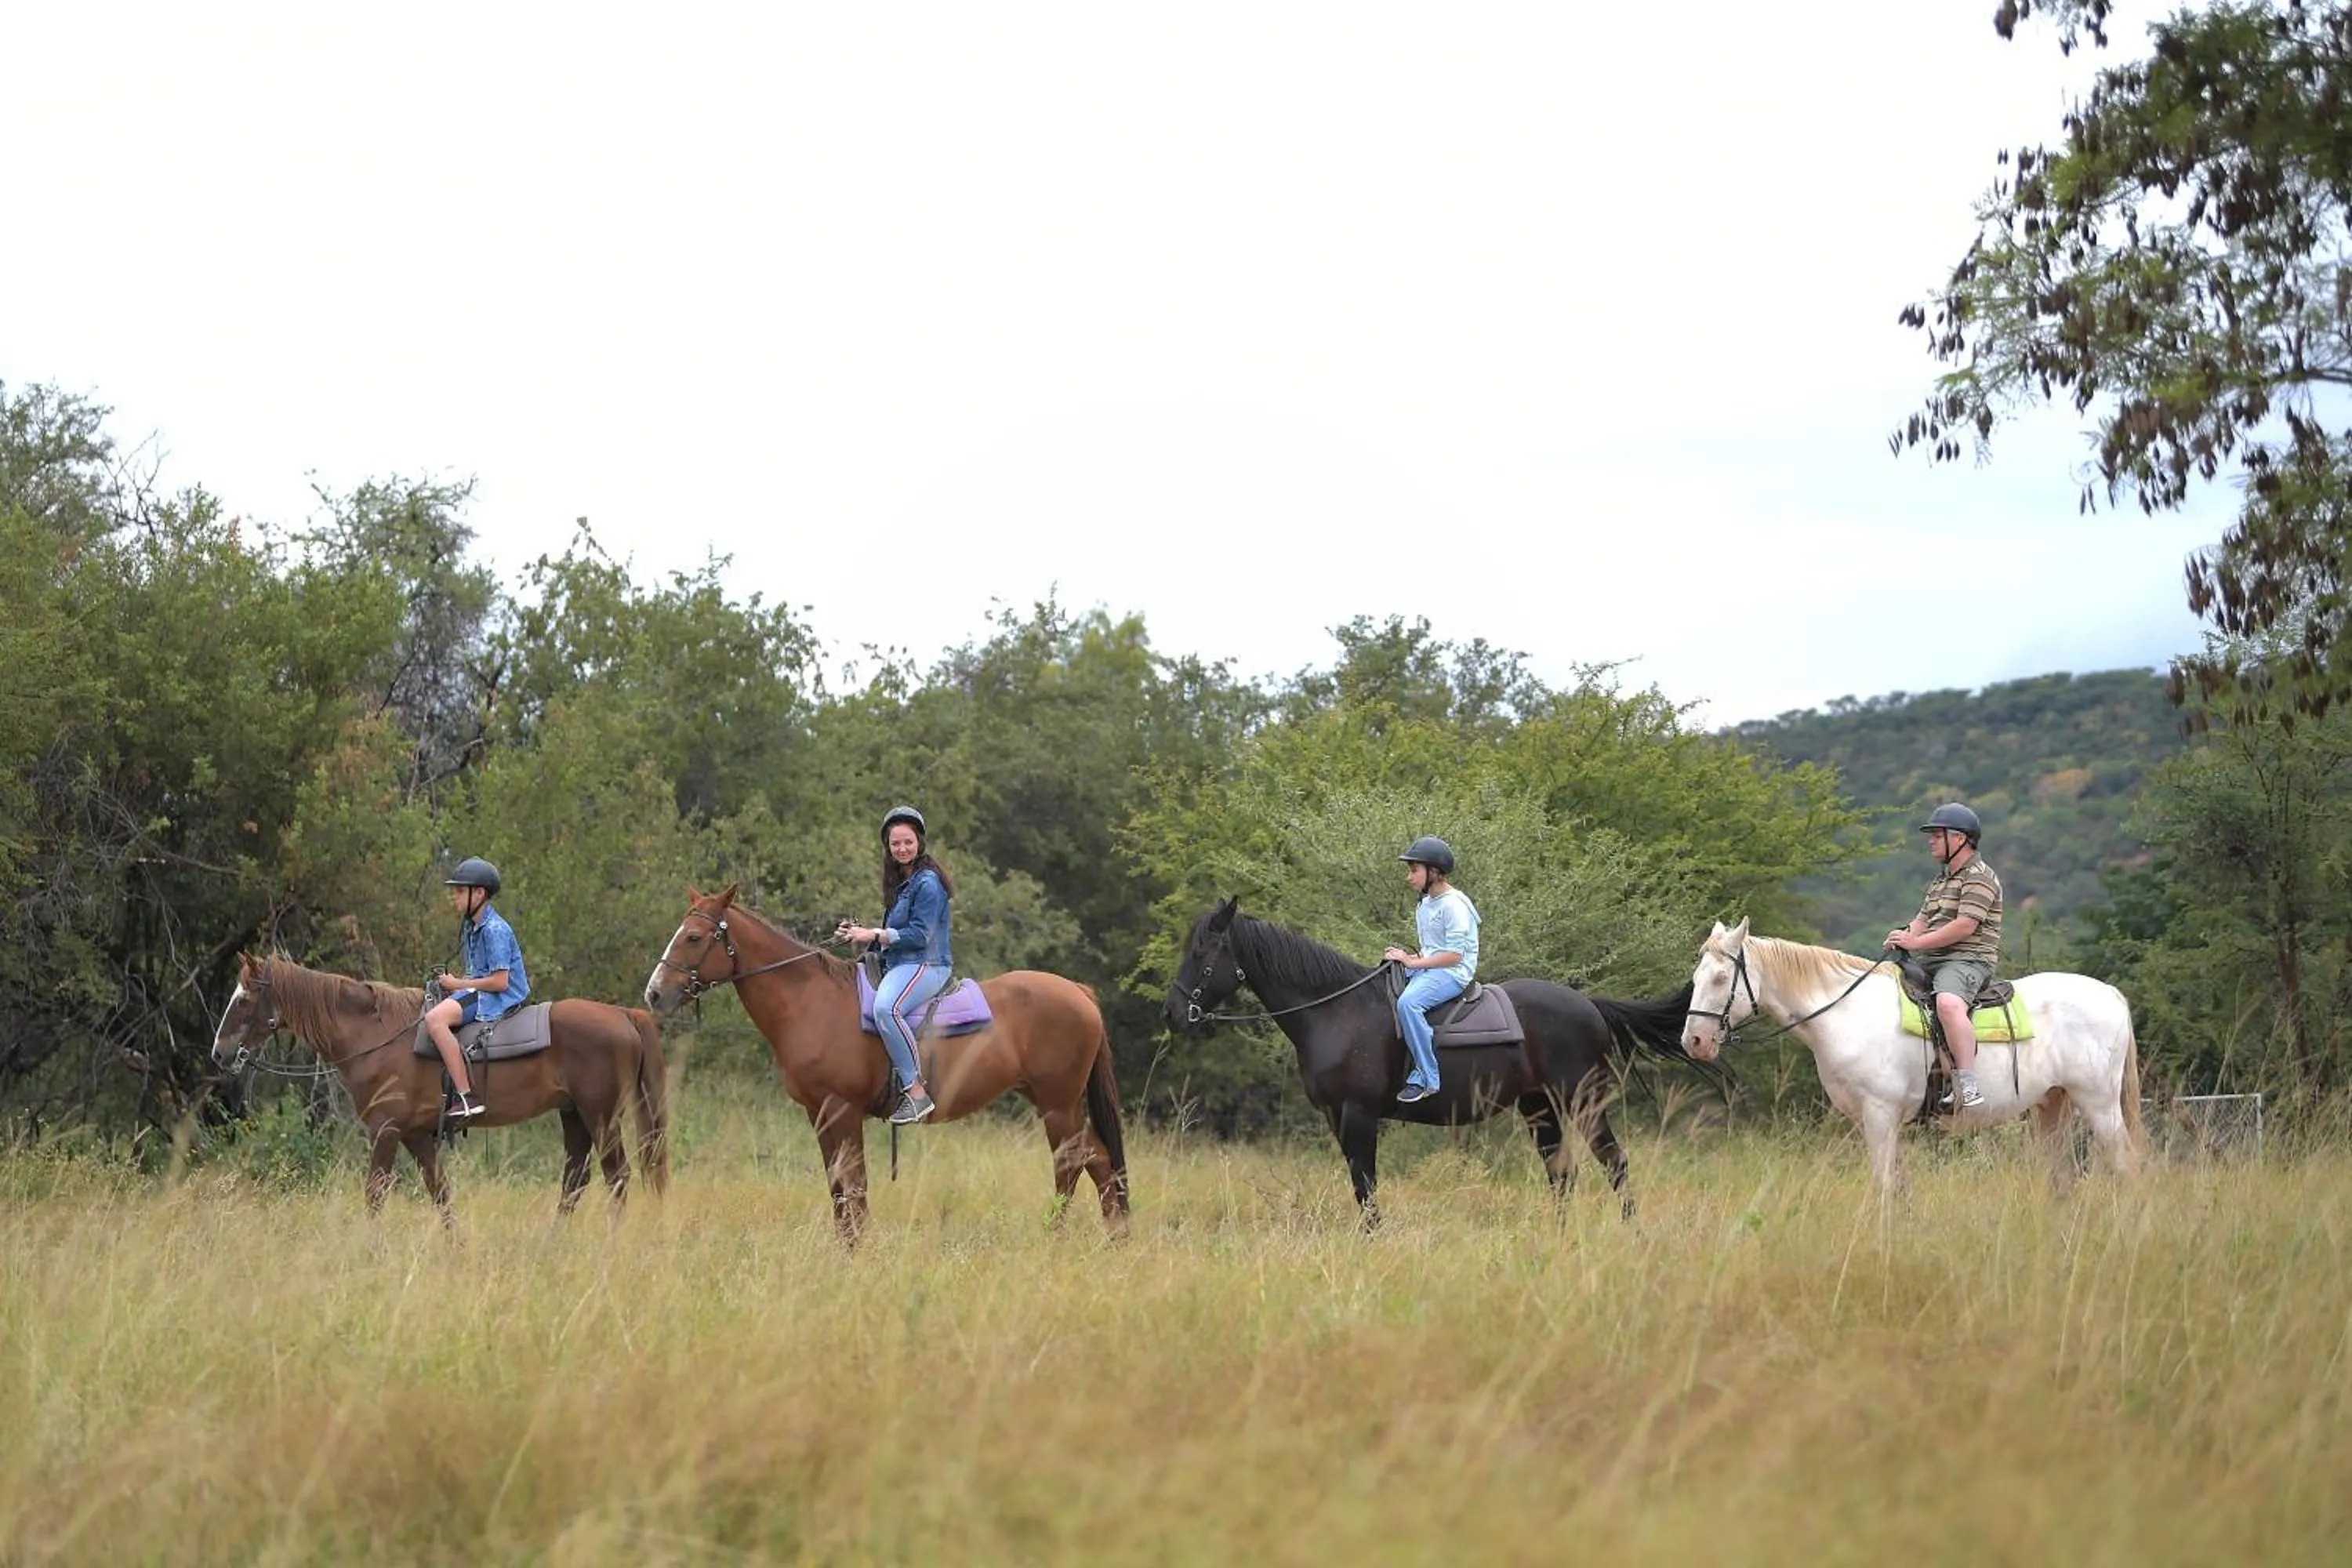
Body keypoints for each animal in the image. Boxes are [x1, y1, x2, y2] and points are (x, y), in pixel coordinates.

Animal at [211, 953, 671, 1224]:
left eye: (244, 1000)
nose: (219, 1053)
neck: (377, 1036)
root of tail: (623, 1015)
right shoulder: (416, 1136)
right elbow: (442, 1196)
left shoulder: (385, 1131)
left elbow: (374, 1195)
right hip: (573, 1114)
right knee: (575, 1180)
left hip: (601, 1116)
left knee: (618, 1178)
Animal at [640, 886, 1130, 1243]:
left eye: (694, 937)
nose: (655, 994)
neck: (811, 1002)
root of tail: (1078, 992)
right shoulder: (819, 1114)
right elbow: (839, 1187)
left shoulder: (841, 1110)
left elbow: (853, 1186)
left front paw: (858, 1249)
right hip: (1052, 1102)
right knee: (1100, 1161)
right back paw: (1115, 1238)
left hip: (1057, 1105)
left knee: (1072, 1163)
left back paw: (1056, 1235)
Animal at [1162, 898, 1706, 1227]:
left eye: (1204, 950)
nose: (1172, 1013)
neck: (1335, 1012)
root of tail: (1590, 1005)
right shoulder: (1337, 1117)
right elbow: (1360, 1184)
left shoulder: (1359, 1114)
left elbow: (1367, 1186)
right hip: (1540, 1107)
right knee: (1562, 1172)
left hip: (1582, 1100)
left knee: (1614, 1163)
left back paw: (1630, 1233)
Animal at [1678, 919, 2145, 1194]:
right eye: (1696, 977)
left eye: (1720, 978)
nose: (1694, 1041)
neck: (1846, 1011)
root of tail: (2111, 993)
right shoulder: (1878, 1121)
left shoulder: (1880, 1115)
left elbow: (1884, 1185)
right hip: (2053, 1103)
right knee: (2062, 1177)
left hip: (2099, 1104)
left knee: (2125, 1165)